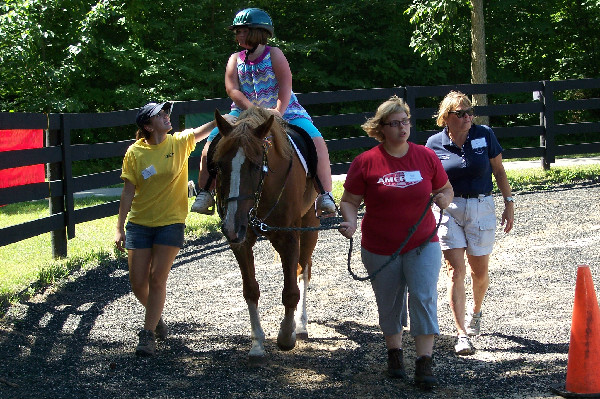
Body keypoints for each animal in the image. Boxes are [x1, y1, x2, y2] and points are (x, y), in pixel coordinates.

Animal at [213, 108, 322, 360]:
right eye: (219, 165)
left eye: (255, 166)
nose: (231, 226)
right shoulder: (241, 242)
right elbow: (251, 290)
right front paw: (257, 344)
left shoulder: (289, 237)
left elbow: (291, 291)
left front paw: (286, 336)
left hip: (309, 226)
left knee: (304, 271)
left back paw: (301, 325)